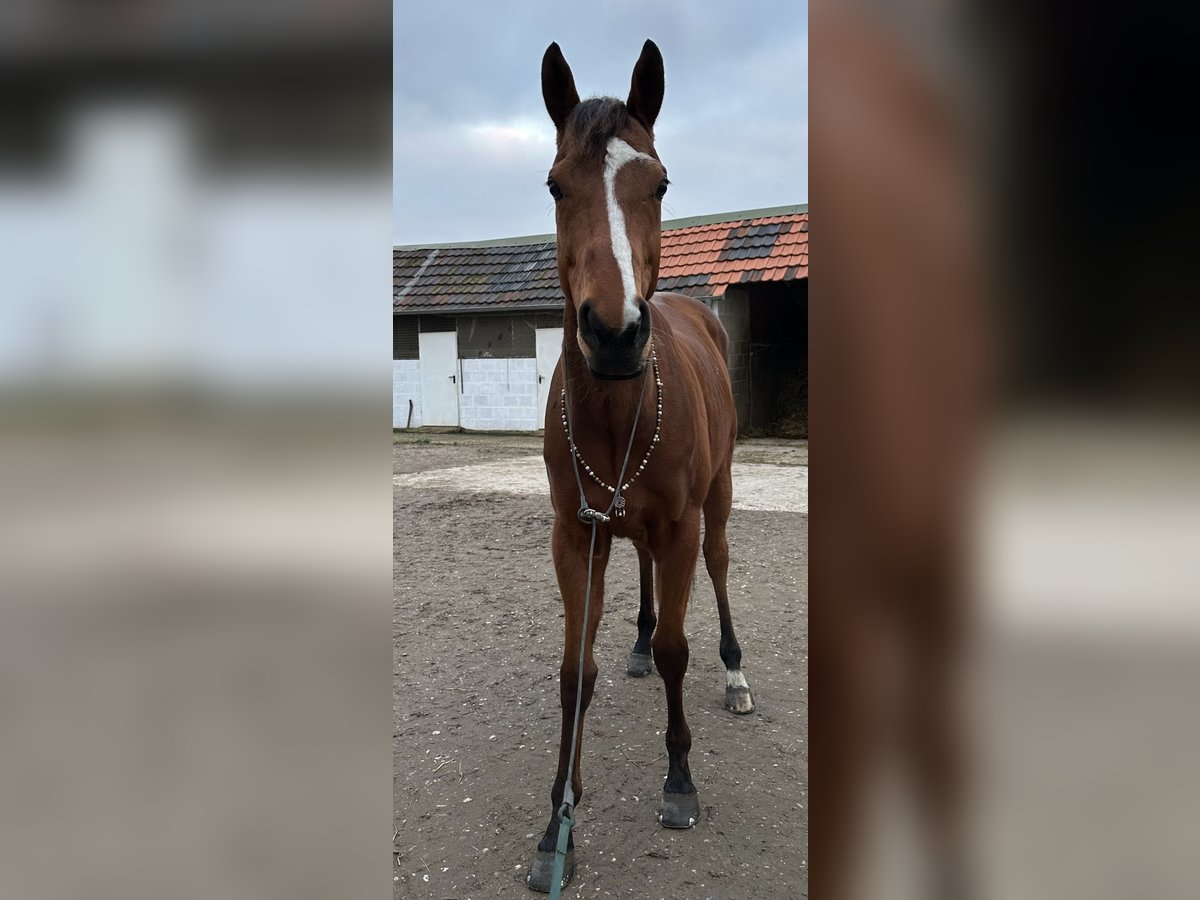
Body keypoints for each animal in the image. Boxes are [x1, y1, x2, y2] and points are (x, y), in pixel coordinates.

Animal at [530, 42, 753, 897]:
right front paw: (557, 819)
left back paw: (735, 677)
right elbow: (574, 671)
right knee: (647, 575)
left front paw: (680, 781)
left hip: (715, 502)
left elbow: (677, 654)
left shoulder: (682, 524)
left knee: (716, 572)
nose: (616, 333)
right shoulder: (575, 536)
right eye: (556, 184)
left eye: (658, 183)